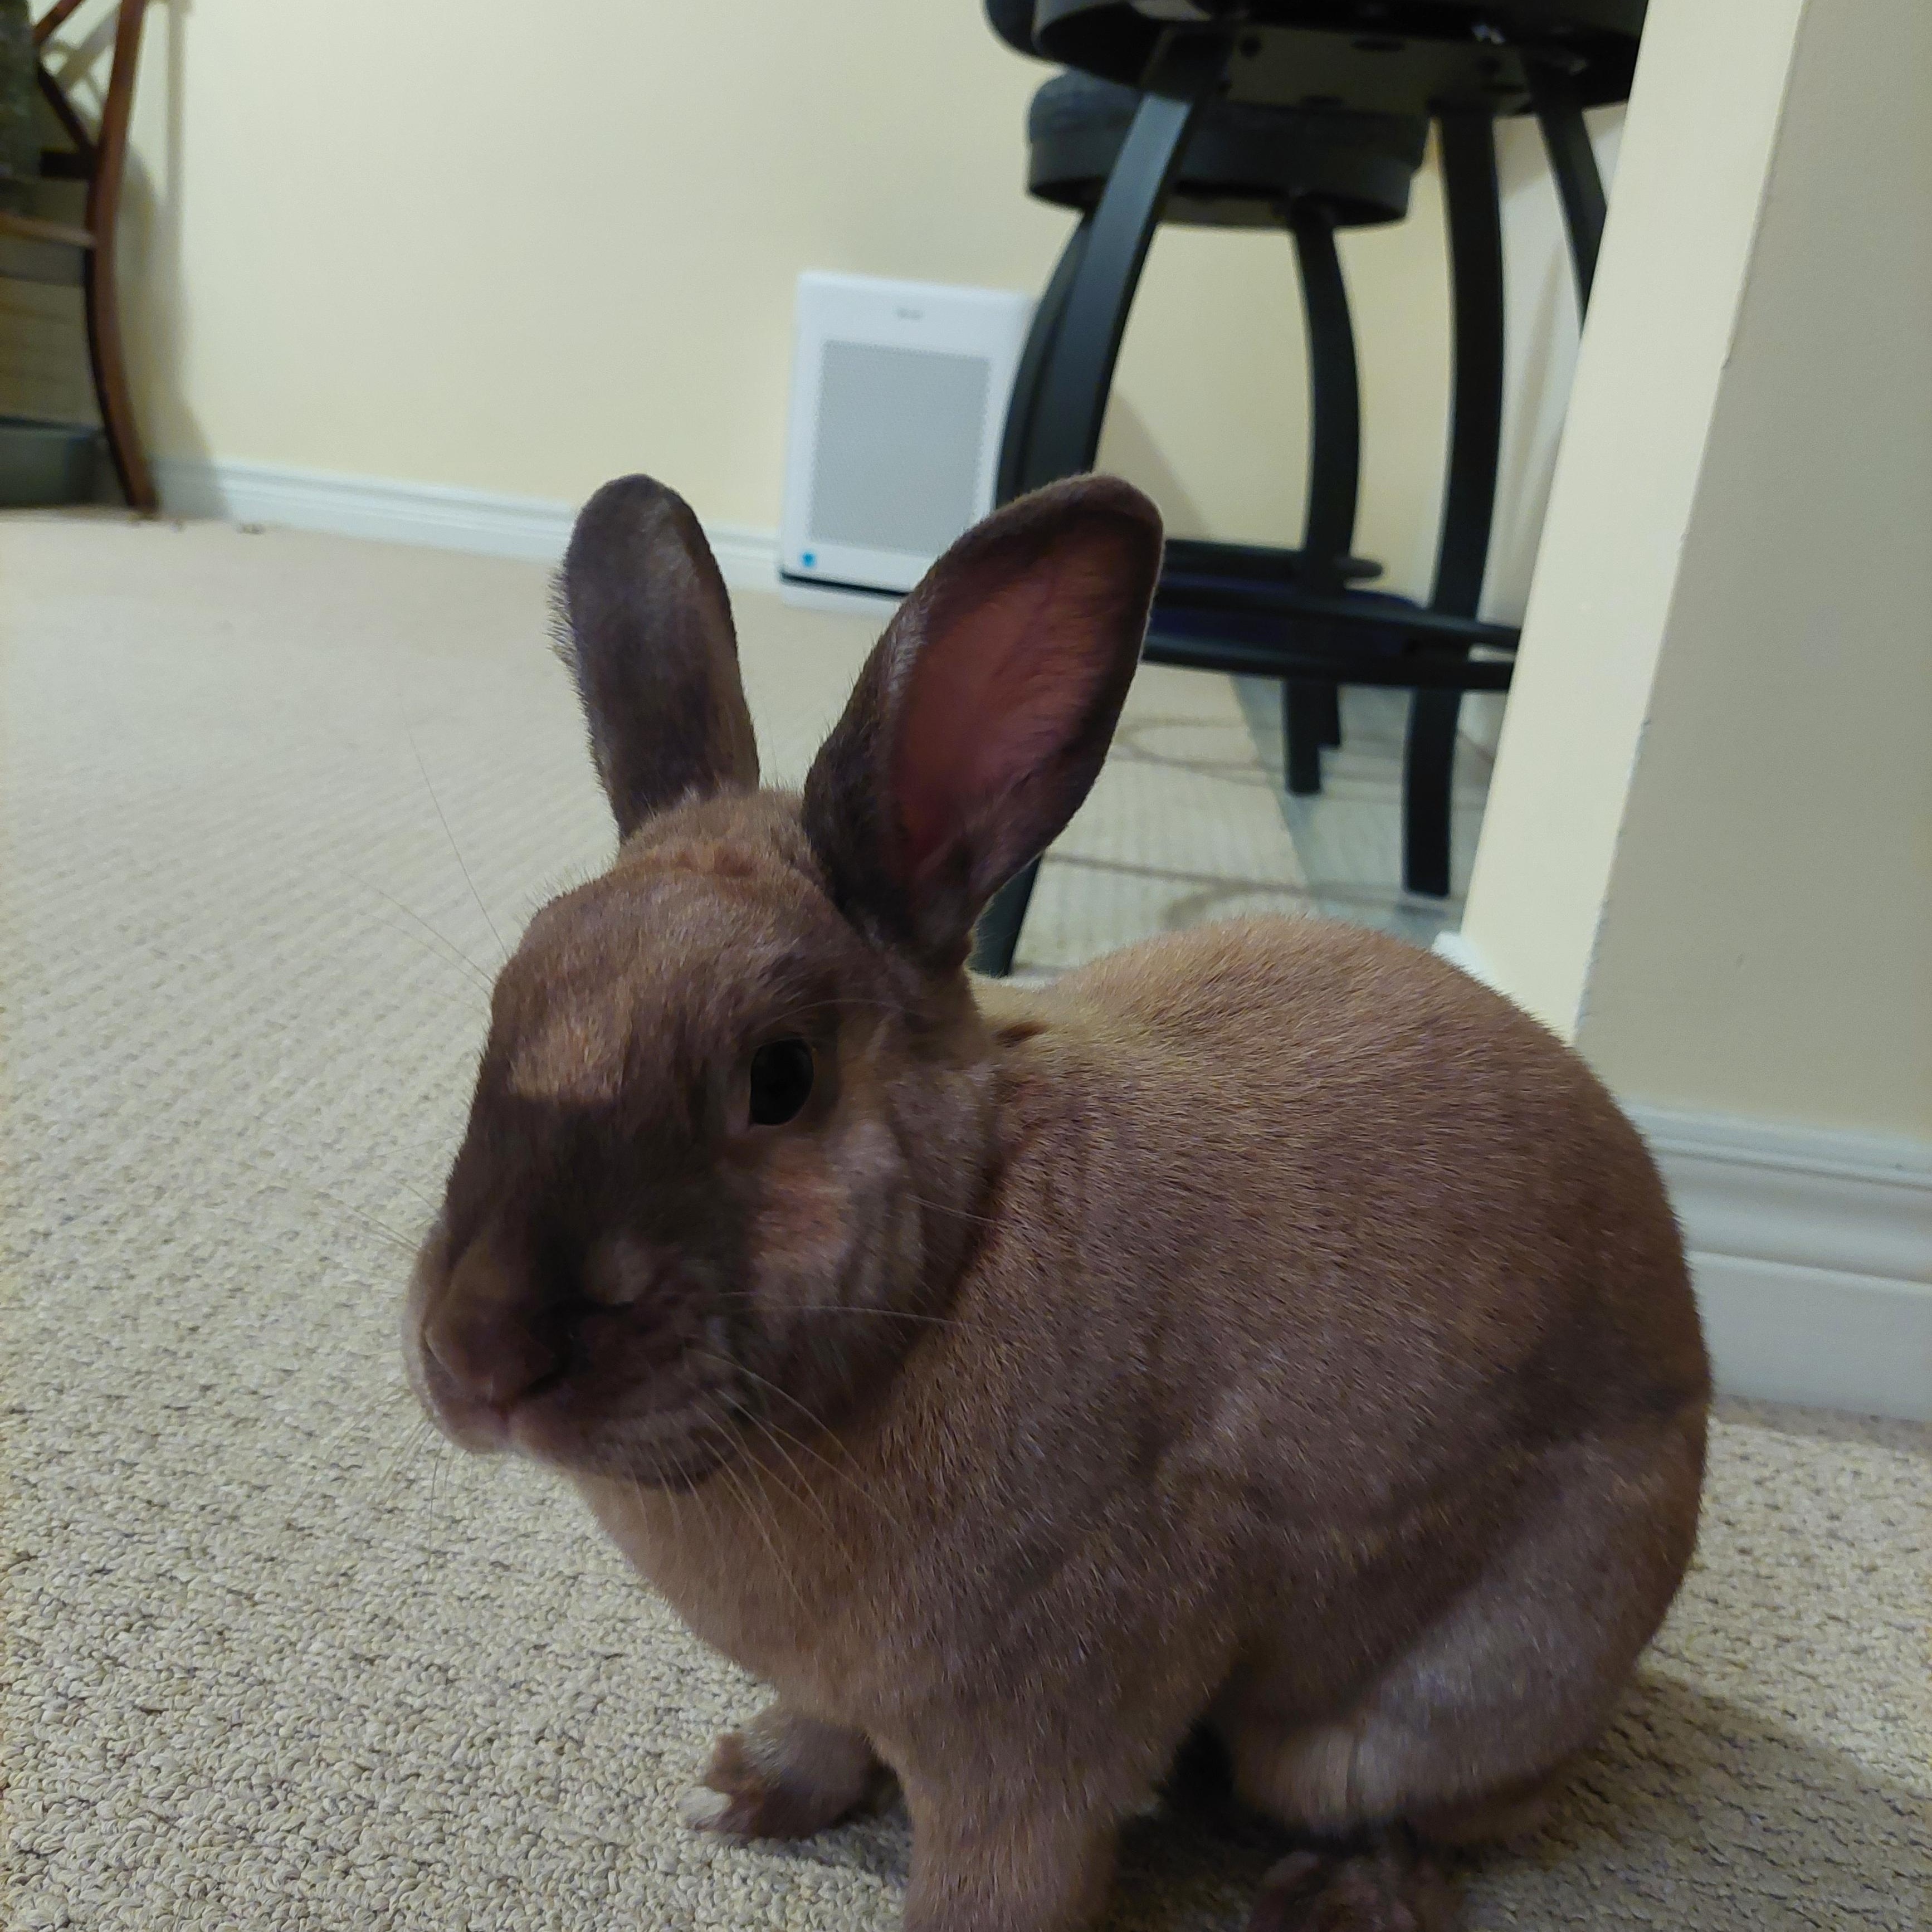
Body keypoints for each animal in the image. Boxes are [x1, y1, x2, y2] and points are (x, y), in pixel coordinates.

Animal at [403, 471, 1709, 1932]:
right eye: (506, 1008)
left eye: (779, 1079)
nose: (479, 1356)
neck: (944, 1277)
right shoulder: (848, 1686)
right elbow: (825, 1732)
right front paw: (749, 1788)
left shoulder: (1035, 1750)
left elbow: (1005, 1877)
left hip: (1387, 1721)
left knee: (1444, 1817)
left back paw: (1330, 1896)